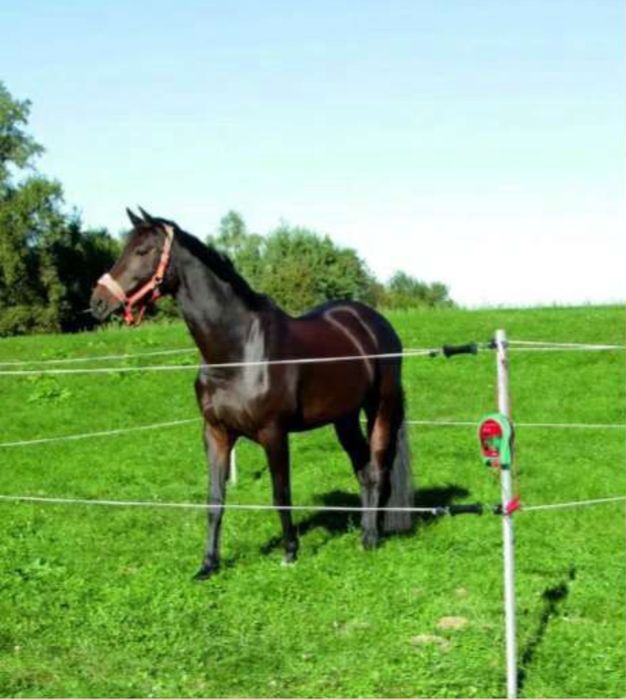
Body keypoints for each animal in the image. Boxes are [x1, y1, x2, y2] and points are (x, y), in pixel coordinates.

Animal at [90, 208, 414, 580]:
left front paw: (290, 552)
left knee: (377, 468)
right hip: (343, 418)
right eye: (124, 249)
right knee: (363, 469)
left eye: (143, 251)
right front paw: (208, 565)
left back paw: (371, 538)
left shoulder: (273, 433)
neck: (238, 351)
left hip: (382, 406)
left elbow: (280, 494)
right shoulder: (216, 434)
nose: (98, 302)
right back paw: (366, 529)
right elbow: (215, 499)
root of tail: (372, 322)